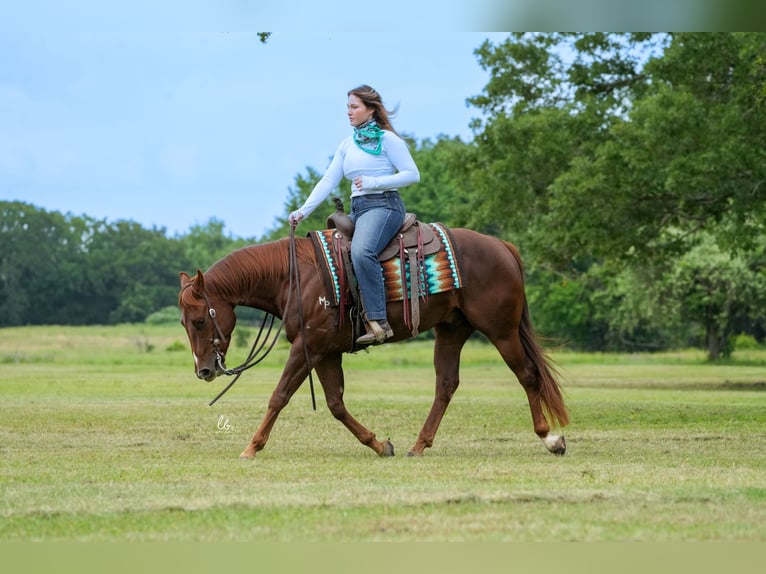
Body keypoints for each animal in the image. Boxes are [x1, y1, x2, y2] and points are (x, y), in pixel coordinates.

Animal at [177, 227, 568, 462]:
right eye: (184, 322)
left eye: (199, 321)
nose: (204, 370)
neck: (295, 277)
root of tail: (501, 246)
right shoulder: (324, 352)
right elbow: (335, 404)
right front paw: (380, 444)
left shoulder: (308, 347)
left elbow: (279, 396)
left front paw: (251, 447)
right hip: (452, 330)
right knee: (446, 385)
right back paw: (418, 445)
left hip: (501, 330)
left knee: (527, 375)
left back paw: (550, 438)